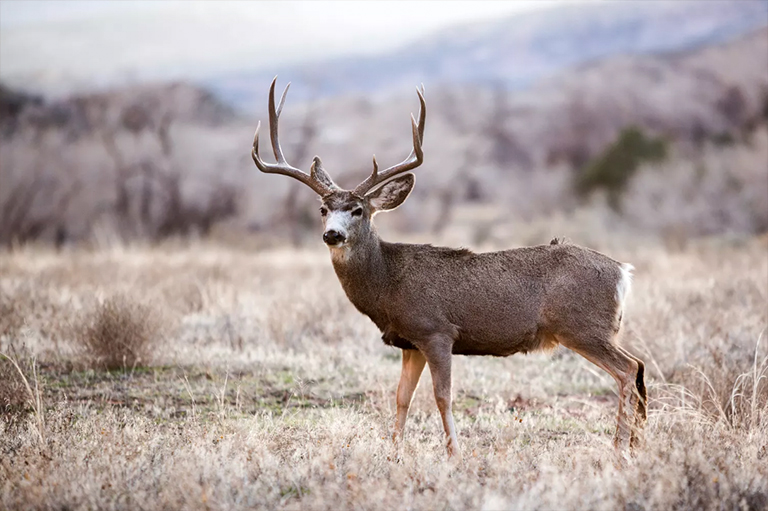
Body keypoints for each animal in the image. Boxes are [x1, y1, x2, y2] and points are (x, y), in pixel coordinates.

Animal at [252, 79, 648, 460]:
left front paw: (454, 453)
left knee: (628, 370)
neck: (388, 283)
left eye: (358, 210)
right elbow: (402, 397)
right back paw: (636, 443)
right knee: (639, 366)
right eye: (323, 209)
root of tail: (623, 272)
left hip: (582, 326)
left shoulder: (437, 331)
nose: (332, 234)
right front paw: (394, 453)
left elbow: (442, 396)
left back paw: (619, 449)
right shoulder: (409, 342)